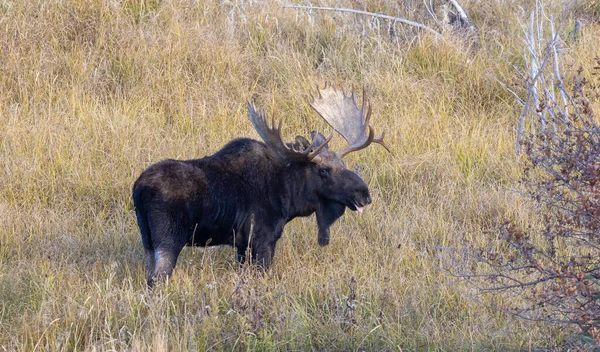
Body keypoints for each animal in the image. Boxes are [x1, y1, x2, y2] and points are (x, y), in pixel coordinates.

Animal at [131, 83, 390, 286]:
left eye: (343, 164)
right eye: (324, 170)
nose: (364, 194)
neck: (289, 196)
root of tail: (138, 188)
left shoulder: (241, 245)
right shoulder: (262, 239)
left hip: (147, 242)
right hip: (169, 240)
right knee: (156, 280)